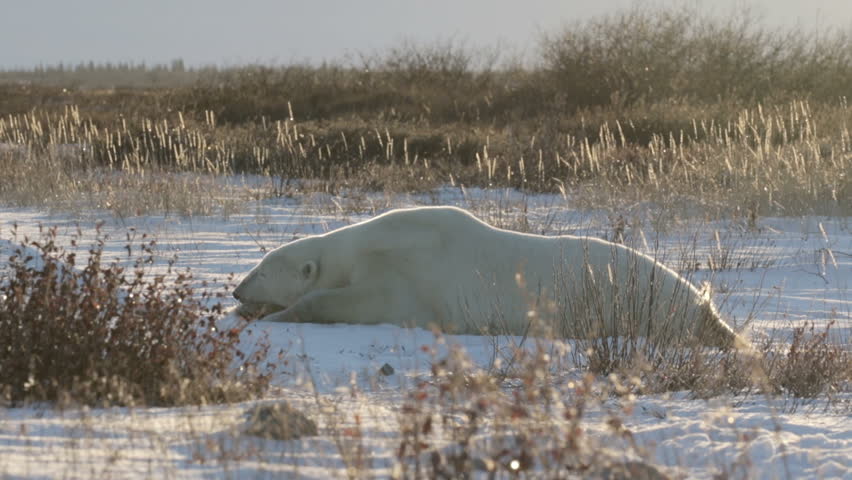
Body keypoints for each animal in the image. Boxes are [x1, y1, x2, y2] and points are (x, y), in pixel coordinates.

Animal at [233, 206, 747, 349]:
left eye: (261, 270)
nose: (236, 290)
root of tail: (702, 305)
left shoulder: (407, 275)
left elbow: (361, 302)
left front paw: (277, 316)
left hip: (646, 306)